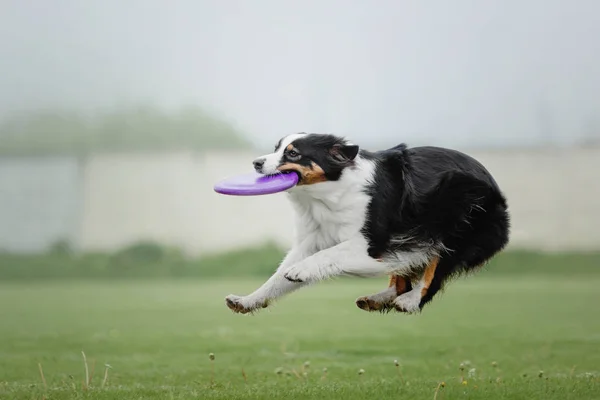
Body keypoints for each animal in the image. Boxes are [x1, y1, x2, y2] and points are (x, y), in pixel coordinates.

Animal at [225, 133, 510, 314]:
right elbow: (276, 279)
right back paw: (379, 299)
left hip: (458, 221)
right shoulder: (312, 240)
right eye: (276, 148)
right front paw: (247, 301)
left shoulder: (370, 244)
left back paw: (410, 301)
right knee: (403, 277)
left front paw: (300, 271)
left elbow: (327, 255)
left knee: (435, 271)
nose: (256, 163)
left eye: (293, 153)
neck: (327, 195)